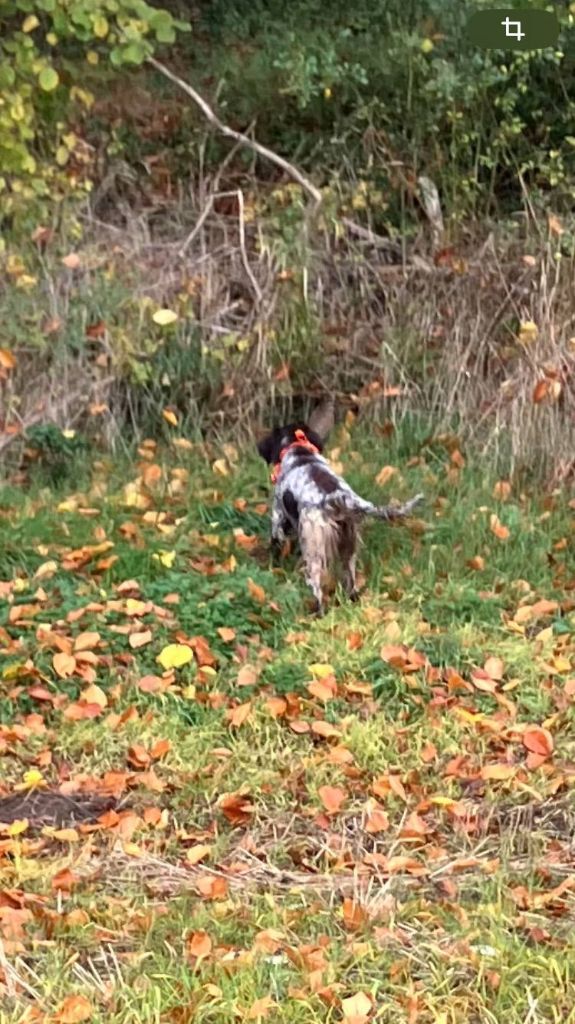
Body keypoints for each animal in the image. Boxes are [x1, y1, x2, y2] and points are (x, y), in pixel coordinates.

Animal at [254, 401, 421, 614]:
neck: (299, 451)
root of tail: (340, 497)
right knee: (351, 584)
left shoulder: (278, 516)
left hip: (314, 549)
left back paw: (316, 612)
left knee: (317, 588)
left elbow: (275, 543)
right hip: (348, 545)